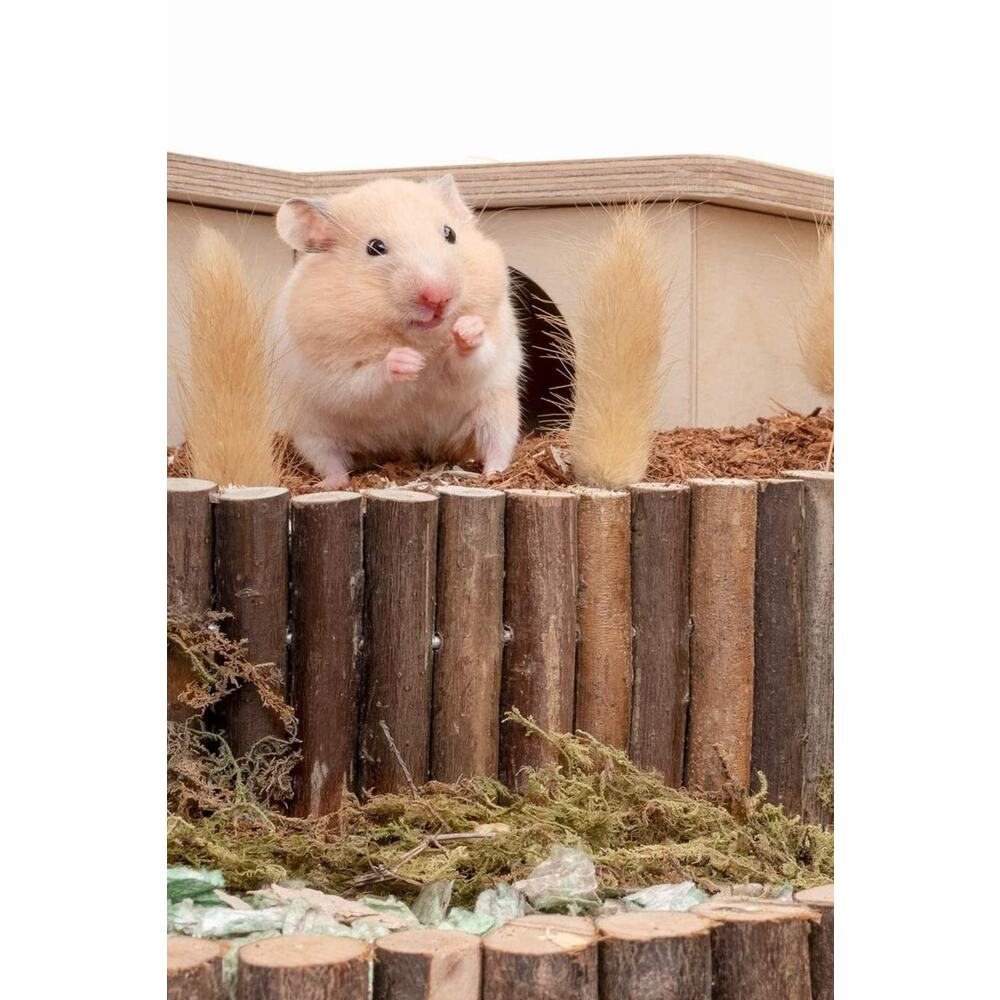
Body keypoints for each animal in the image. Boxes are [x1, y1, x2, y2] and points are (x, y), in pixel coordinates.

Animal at [272, 175, 523, 489]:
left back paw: (493, 473)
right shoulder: (335, 375)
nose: (438, 297)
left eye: (450, 233)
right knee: (329, 460)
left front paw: (467, 330)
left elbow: (473, 358)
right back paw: (331, 483)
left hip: (498, 412)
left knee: (496, 447)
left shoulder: (490, 352)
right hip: (311, 433)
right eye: (375, 247)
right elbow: (365, 382)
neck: (418, 336)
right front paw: (409, 361)